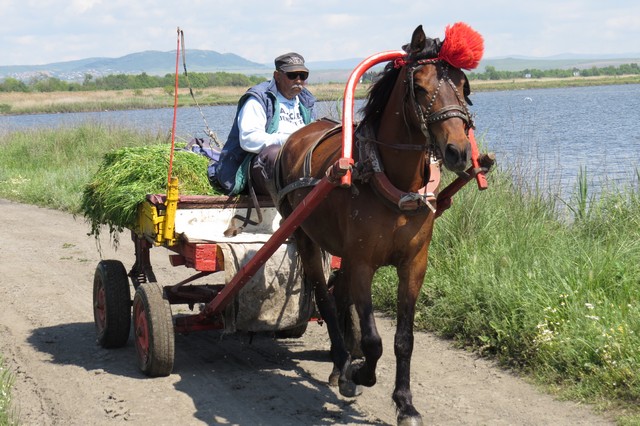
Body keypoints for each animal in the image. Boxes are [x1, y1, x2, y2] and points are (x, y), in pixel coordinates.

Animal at [268, 24, 482, 426]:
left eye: (464, 87)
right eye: (420, 87)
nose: (458, 151)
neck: (393, 183)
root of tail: (298, 137)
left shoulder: (414, 265)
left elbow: (403, 339)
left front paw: (405, 403)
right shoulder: (364, 263)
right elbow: (373, 340)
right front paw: (359, 372)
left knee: (338, 296)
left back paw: (339, 365)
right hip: (305, 237)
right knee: (325, 297)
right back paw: (342, 362)